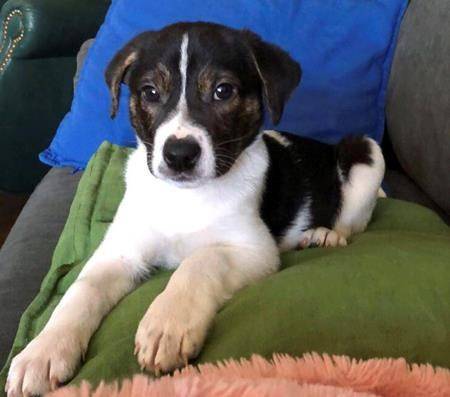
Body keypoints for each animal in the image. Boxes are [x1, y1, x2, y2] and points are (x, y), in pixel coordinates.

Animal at [5, 22, 384, 396]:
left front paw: (167, 324)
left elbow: (200, 260)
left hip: (367, 153)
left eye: (223, 91)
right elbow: (80, 291)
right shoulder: (120, 253)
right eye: (150, 92)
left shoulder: (253, 249)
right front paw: (43, 351)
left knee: (351, 221)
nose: (179, 155)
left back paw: (324, 235)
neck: (184, 197)